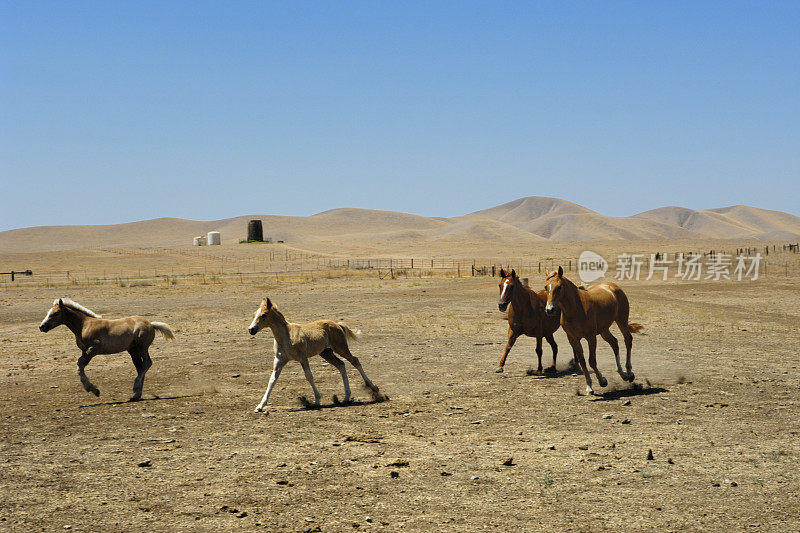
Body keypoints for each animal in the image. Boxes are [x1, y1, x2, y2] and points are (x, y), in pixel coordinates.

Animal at [38, 300, 173, 400]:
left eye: (56, 313)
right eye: (48, 312)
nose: (42, 327)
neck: (84, 325)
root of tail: (150, 324)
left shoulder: (94, 348)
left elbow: (80, 364)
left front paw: (92, 389)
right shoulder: (84, 351)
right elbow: (80, 366)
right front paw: (92, 389)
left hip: (142, 347)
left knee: (147, 363)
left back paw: (135, 388)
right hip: (133, 350)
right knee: (140, 367)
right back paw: (136, 395)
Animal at [544, 266, 644, 394]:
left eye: (559, 287)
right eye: (545, 287)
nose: (549, 309)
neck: (576, 309)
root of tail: (612, 287)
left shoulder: (591, 337)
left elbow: (591, 360)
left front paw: (602, 381)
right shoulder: (573, 339)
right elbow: (582, 361)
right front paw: (589, 387)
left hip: (621, 321)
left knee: (628, 340)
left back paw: (630, 372)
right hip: (604, 330)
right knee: (614, 343)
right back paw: (623, 374)